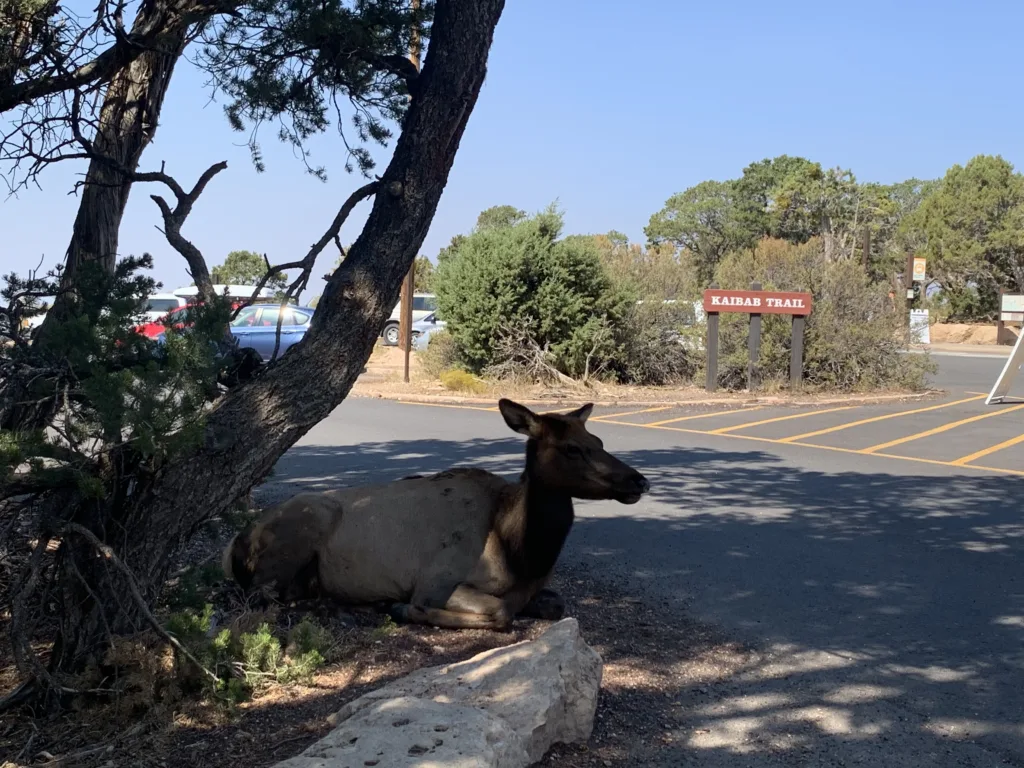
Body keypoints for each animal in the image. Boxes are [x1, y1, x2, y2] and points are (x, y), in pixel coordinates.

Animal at [223, 397, 651, 630]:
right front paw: (400, 607)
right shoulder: (437, 579)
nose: (639, 481)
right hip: (300, 531)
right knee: (262, 597)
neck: (520, 550)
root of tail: (236, 545)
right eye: (572, 449)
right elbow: (499, 612)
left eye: (598, 440)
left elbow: (554, 603)